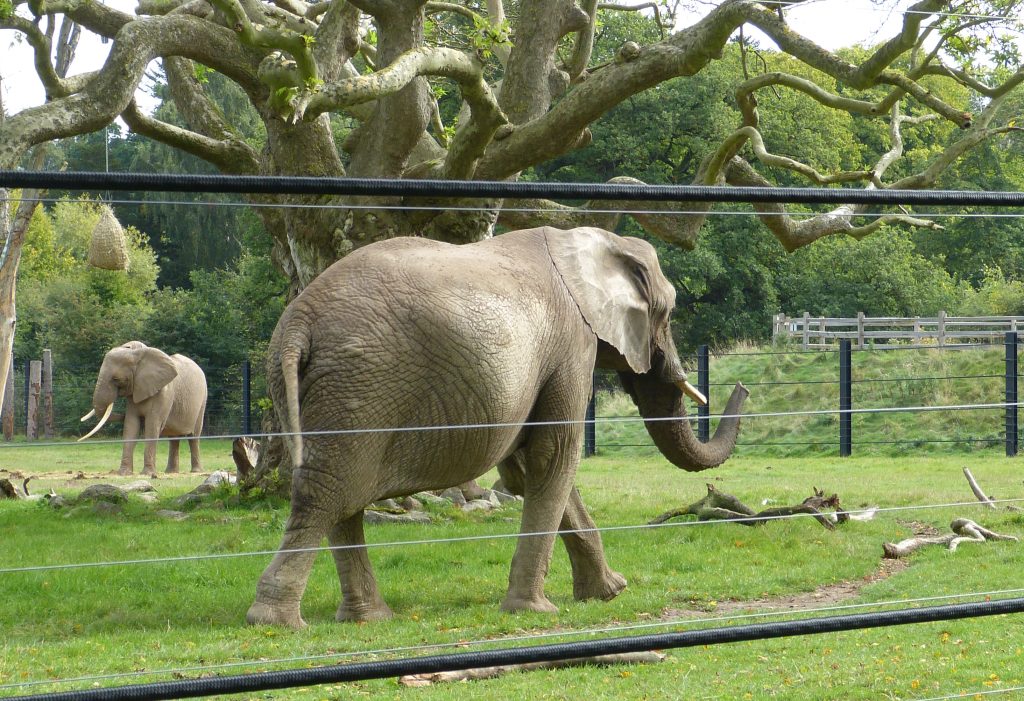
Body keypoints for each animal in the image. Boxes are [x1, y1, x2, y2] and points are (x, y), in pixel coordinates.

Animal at [80, 339, 208, 472]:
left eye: (116, 379)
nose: (122, 414)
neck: (140, 354)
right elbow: (131, 425)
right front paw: (124, 473)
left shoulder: (163, 394)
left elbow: (152, 425)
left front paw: (147, 473)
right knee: (173, 438)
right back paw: (171, 472)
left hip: (203, 398)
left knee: (194, 436)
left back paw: (196, 471)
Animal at [246, 227, 745, 626]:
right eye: (669, 311)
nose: (741, 385)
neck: (591, 240)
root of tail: (298, 326)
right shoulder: (571, 344)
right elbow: (554, 458)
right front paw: (536, 611)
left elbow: (529, 467)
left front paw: (609, 593)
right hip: (361, 389)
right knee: (329, 494)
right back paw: (275, 622)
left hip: (318, 390)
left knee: (338, 498)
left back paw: (368, 619)